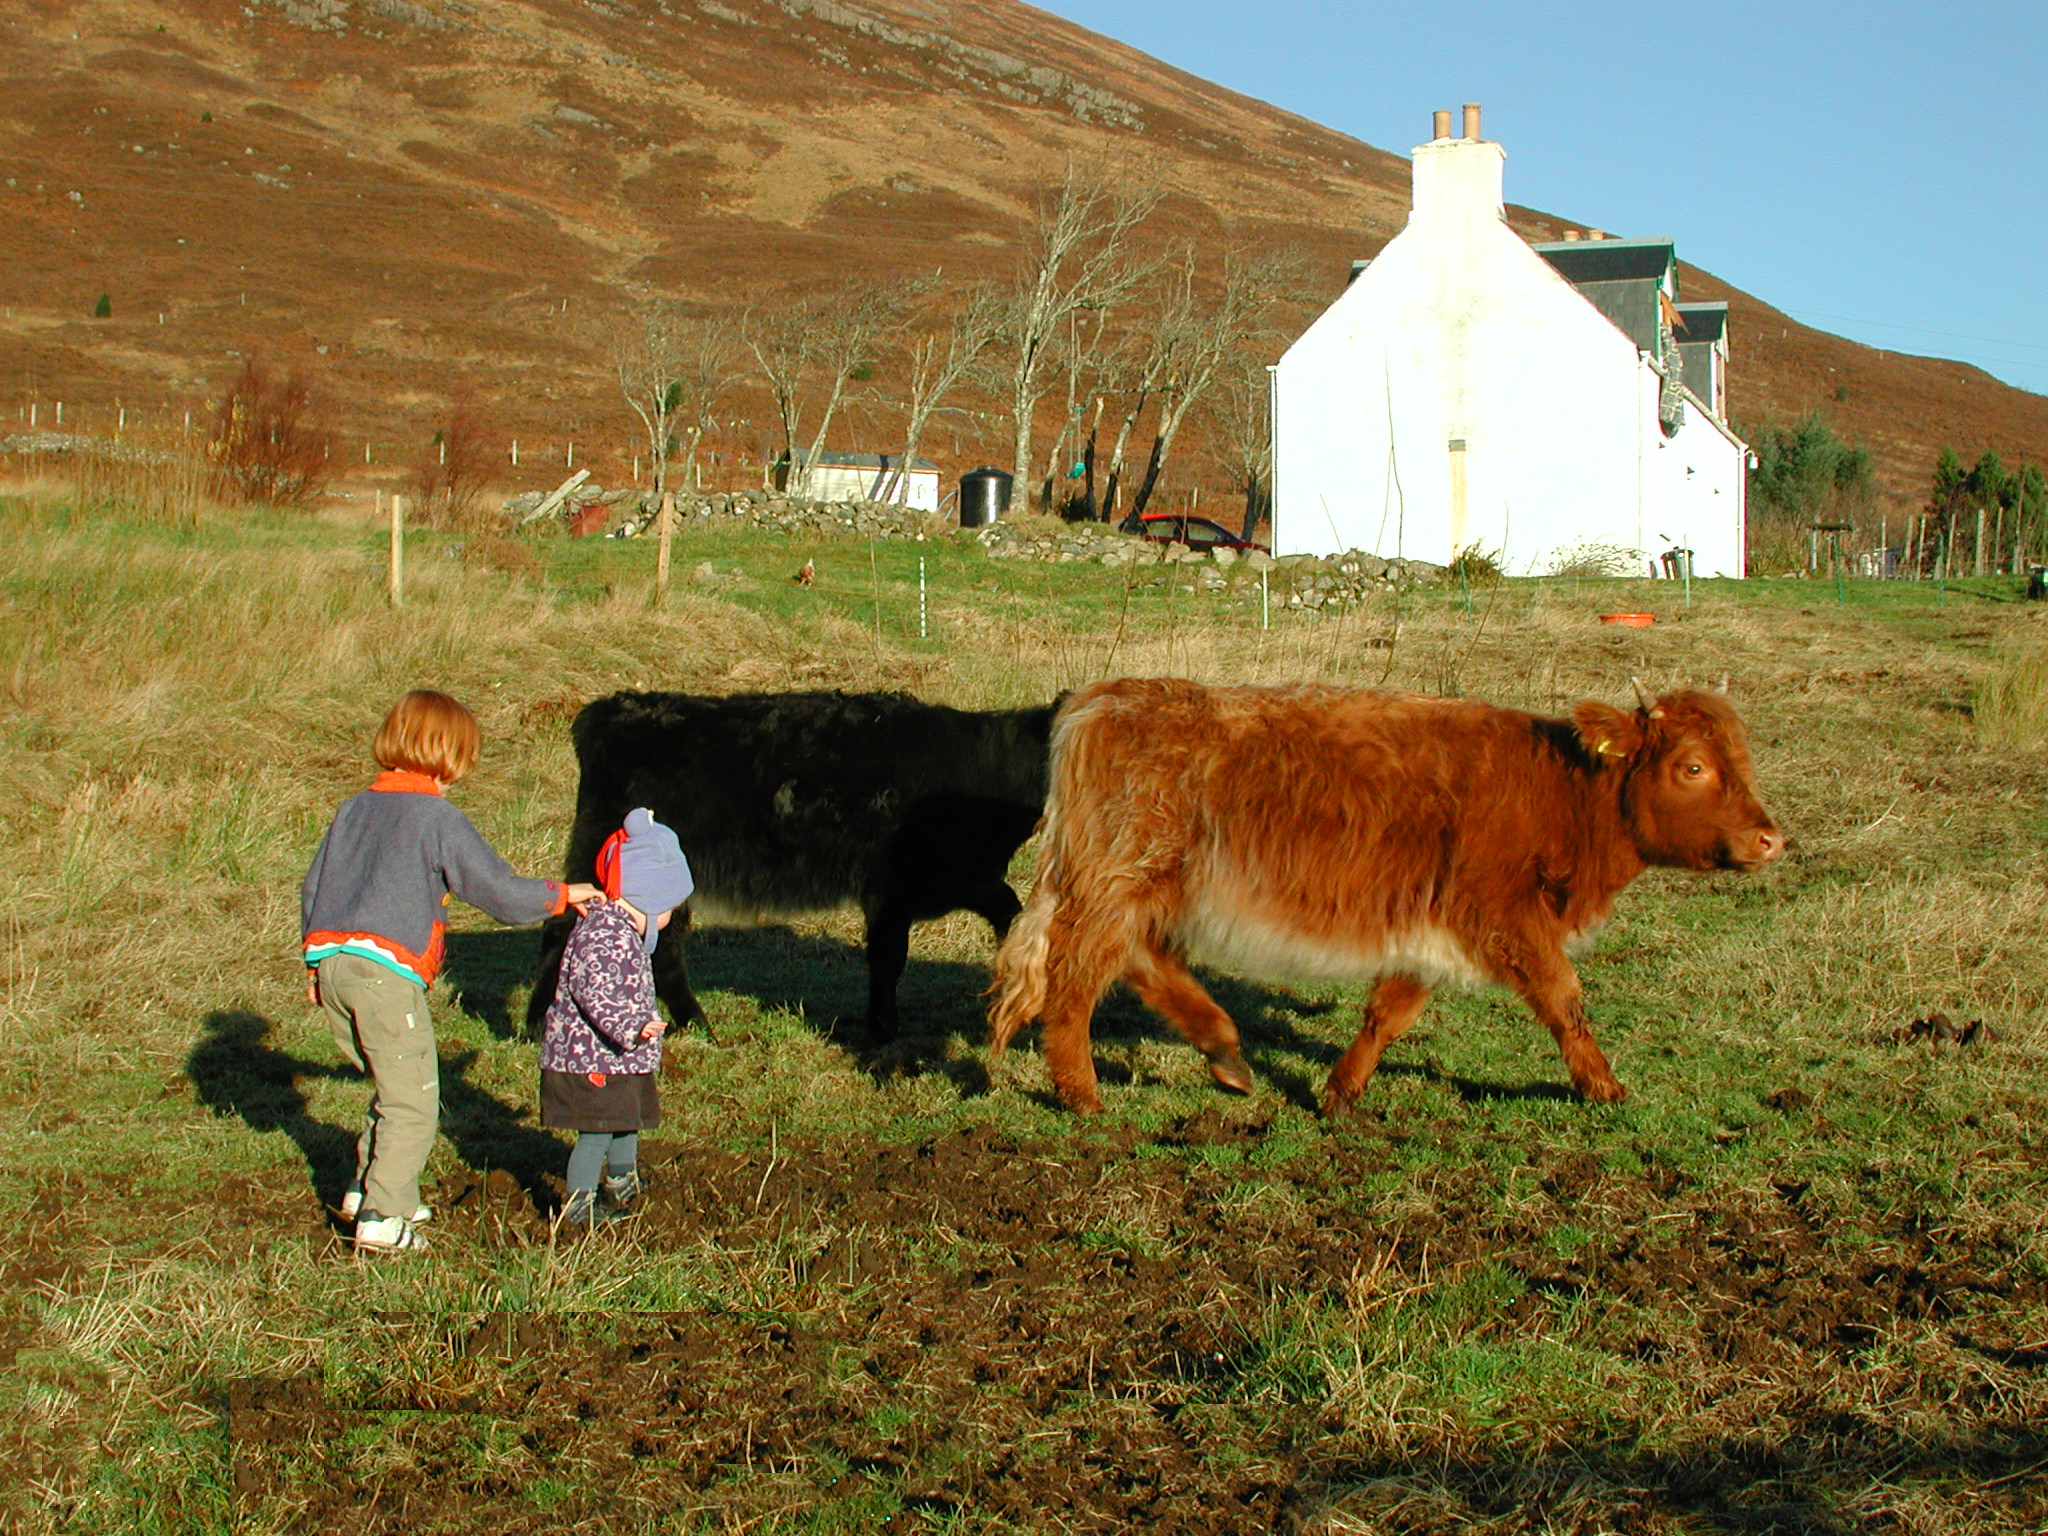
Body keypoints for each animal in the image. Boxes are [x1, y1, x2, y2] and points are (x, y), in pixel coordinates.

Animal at [530, 690, 1056, 1039]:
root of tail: (612, 710)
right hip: (602, 863)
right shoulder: (889, 891)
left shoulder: (967, 878)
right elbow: (889, 959)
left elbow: (1012, 915)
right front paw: (883, 1029)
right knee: (565, 927)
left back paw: (696, 1024)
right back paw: (540, 1024)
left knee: (662, 943)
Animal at [988, 677, 1781, 1115]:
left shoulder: (1433, 927)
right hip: (1117, 882)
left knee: (1139, 962)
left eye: (1743, 759)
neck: (1560, 790)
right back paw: (1083, 1094)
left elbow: (1389, 1013)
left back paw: (1228, 1054)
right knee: (1074, 977)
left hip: (1144, 889)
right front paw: (1604, 1087)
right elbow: (1565, 999)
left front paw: (1340, 1090)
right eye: (1694, 766)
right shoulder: (1505, 917)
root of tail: (1099, 699)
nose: (1770, 839)